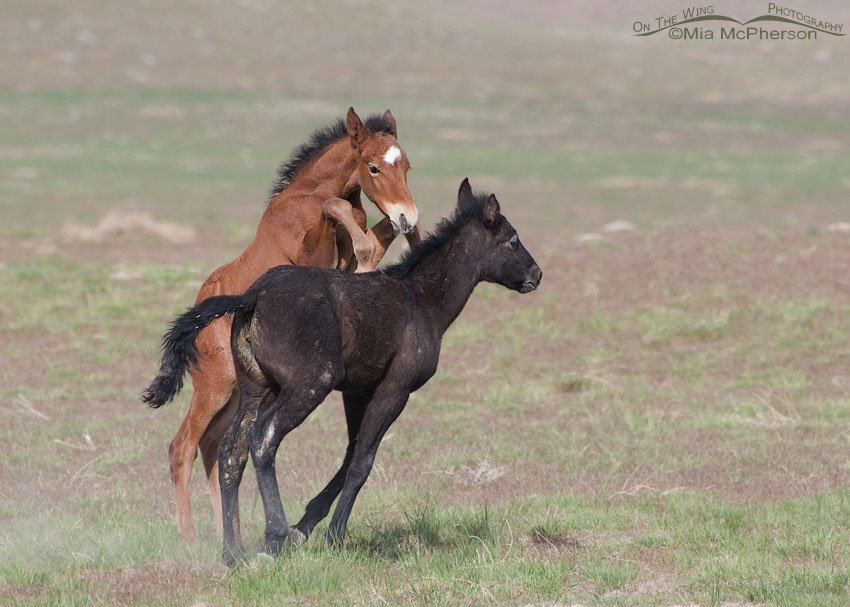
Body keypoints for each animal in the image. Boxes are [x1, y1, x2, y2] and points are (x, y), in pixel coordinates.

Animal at [142, 107, 421, 543]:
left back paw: (226, 532)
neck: (307, 194)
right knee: (182, 447)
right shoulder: (310, 251)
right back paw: (189, 539)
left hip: (238, 391)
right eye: (373, 167)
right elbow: (334, 210)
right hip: (215, 385)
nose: (408, 215)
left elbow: (374, 234)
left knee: (212, 446)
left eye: (406, 166)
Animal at [142, 178, 542, 565]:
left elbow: (351, 452)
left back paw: (233, 551)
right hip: (308, 385)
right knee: (263, 438)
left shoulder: (357, 391)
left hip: (256, 389)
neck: (420, 300)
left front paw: (306, 526)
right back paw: (273, 537)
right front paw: (332, 535)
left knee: (230, 449)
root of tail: (252, 297)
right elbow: (363, 460)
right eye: (513, 240)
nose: (536, 274)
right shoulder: (394, 390)